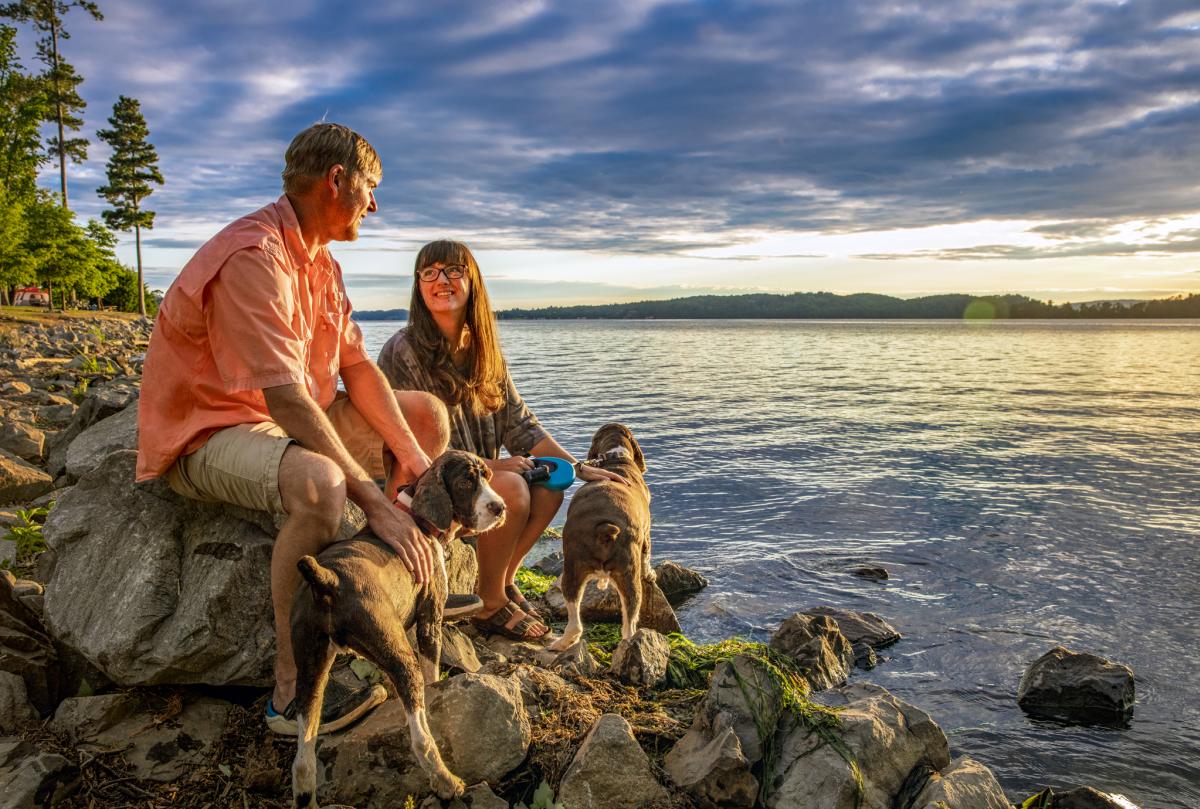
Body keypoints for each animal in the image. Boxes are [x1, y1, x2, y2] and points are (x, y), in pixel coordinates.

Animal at [291, 451, 506, 801]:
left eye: (487, 475)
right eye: (465, 483)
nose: (499, 507)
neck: (415, 518)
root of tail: (329, 579)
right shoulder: (429, 621)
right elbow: (431, 672)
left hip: (310, 667)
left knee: (302, 763)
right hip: (400, 657)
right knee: (421, 739)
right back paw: (447, 782)